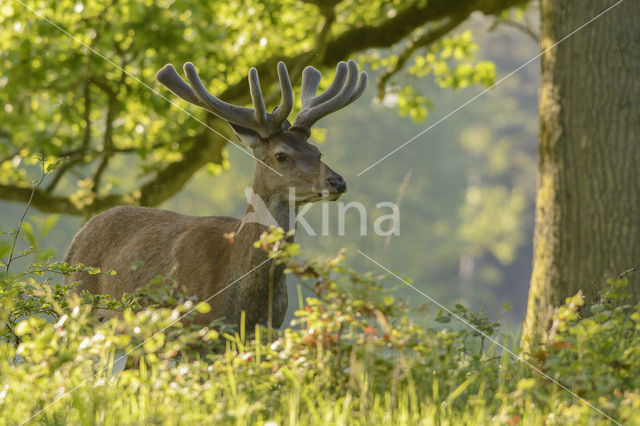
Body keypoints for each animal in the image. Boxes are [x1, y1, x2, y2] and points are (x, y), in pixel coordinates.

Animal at [64, 59, 368, 332]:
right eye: (282, 155)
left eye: (317, 151)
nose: (337, 182)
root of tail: (78, 236)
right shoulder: (188, 329)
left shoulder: (266, 331)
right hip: (78, 303)